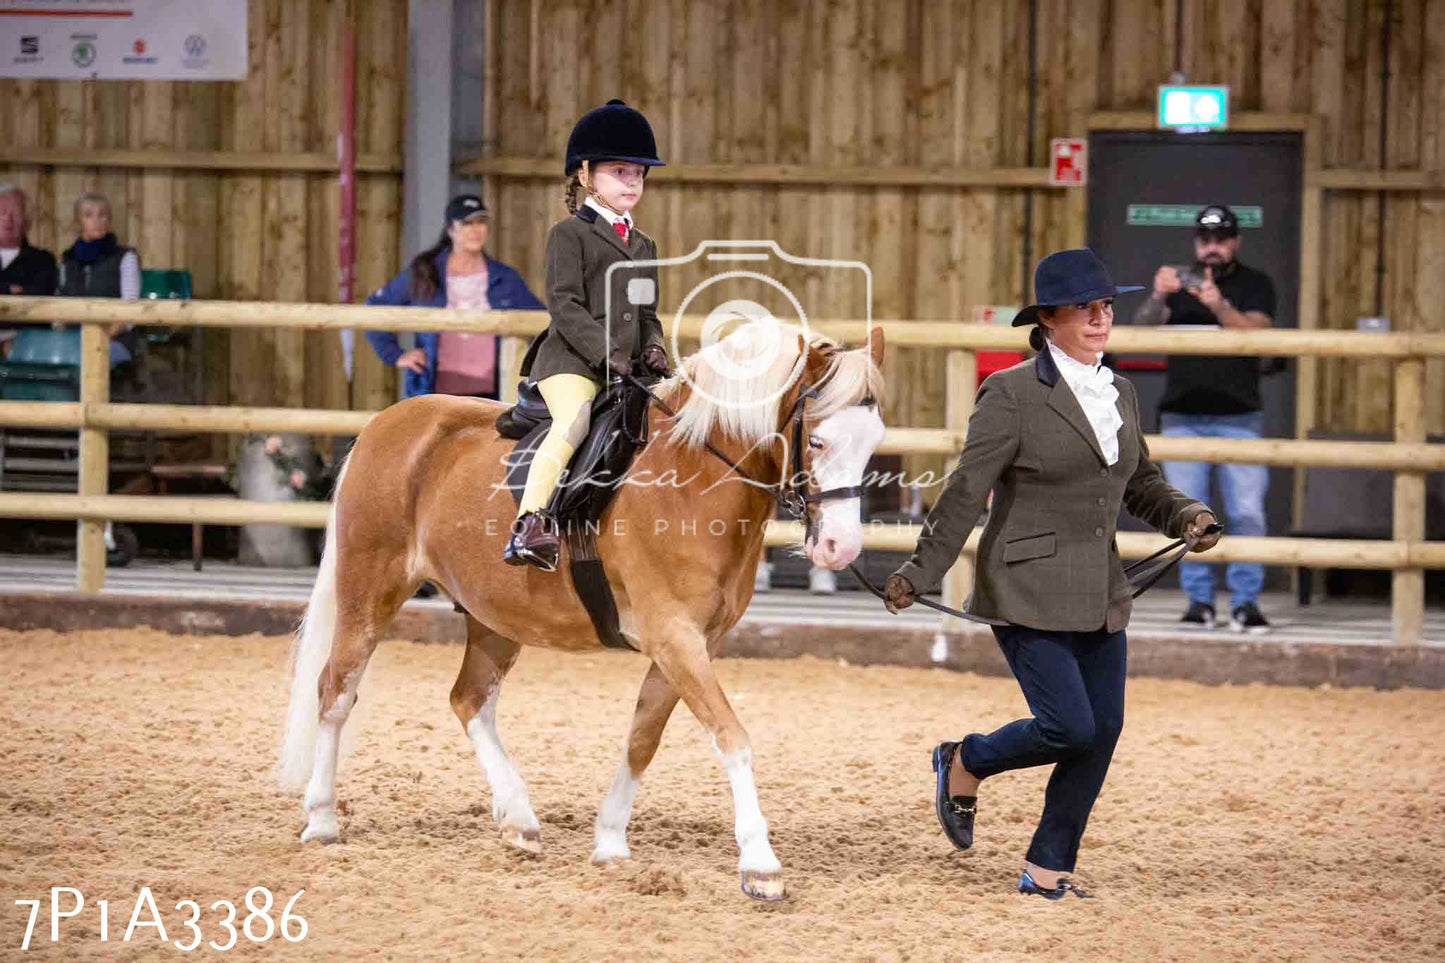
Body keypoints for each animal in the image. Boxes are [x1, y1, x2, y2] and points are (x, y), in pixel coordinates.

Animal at [271, 323, 878, 902]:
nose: (840, 549)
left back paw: (518, 818)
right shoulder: (675, 636)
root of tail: (386, 424)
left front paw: (609, 840)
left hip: (495, 616)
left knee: (469, 699)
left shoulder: (692, 643)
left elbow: (642, 739)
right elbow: (732, 736)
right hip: (370, 590)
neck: (695, 477)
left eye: (873, 444)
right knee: (336, 691)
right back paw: (321, 819)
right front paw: (760, 865)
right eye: (817, 439)